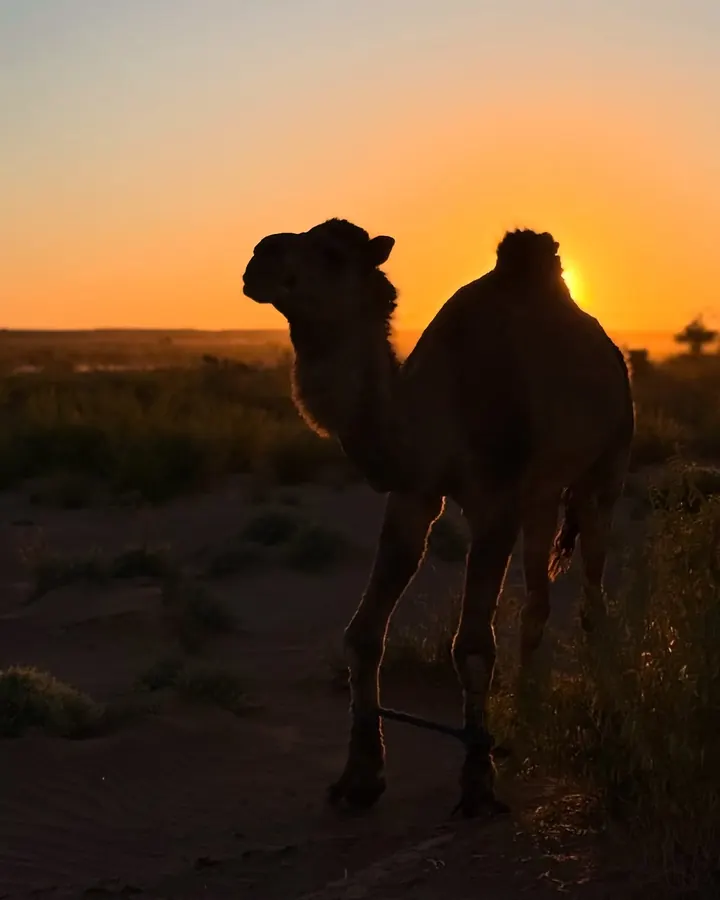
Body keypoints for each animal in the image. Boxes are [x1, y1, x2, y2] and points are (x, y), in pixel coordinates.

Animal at [242, 218, 634, 817]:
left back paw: (604, 706)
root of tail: (614, 354)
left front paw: (477, 782)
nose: (259, 258)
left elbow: (471, 647)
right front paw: (360, 776)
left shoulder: (494, 500)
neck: (435, 414)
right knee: (538, 599)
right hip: (542, 493)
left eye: (331, 253)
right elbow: (363, 635)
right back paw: (523, 716)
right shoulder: (413, 495)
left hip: (606, 466)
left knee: (592, 591)